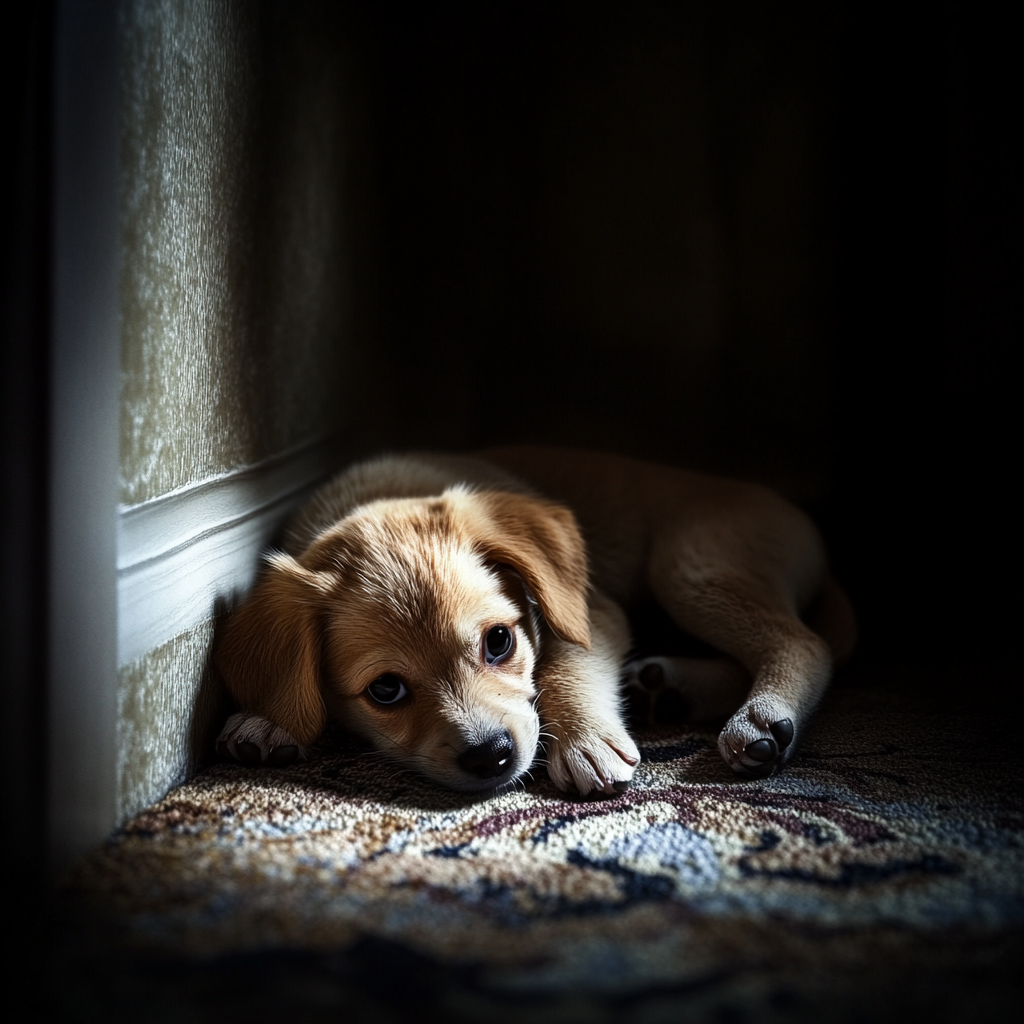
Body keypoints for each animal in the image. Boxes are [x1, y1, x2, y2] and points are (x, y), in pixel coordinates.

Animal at [211, 446, 851, 790]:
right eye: (385, 690)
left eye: (499, 642)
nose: (492, 757)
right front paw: (269, 720)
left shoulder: (591, 610)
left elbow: (565, 666)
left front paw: (585, 742)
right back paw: (666, 690)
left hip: (691, 564)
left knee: (804, 642)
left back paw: (761, 717)